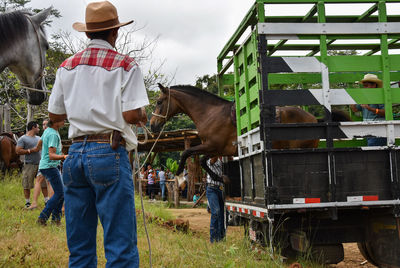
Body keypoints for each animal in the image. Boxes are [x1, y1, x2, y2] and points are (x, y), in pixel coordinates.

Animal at [150, 84, 318, 176]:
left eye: (159, 102)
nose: (152, 125)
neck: (209, 113)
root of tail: (313, 119)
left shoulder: (212, 146)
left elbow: (186, 152)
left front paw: (178, 173)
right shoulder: (217, 149)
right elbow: (204, 161)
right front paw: (221, 178)